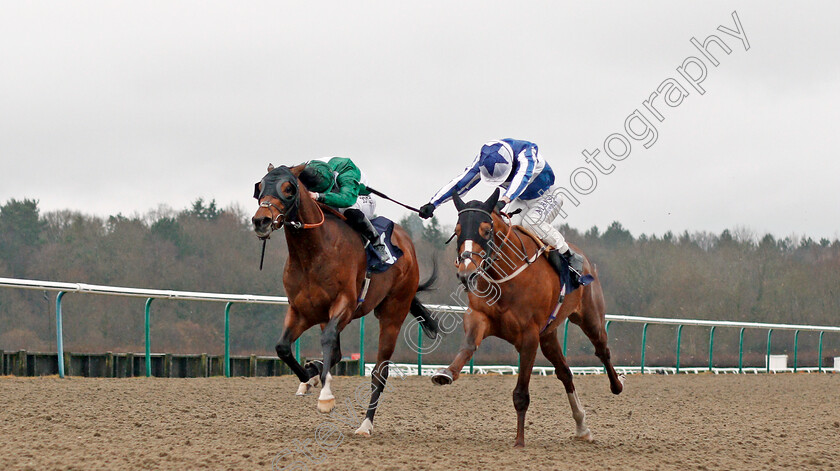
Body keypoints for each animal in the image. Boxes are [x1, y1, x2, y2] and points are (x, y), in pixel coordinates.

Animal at [251, 165, 440, 438]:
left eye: (288, 189)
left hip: (393, 312)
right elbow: (283, 347)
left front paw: (325, 396)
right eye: (260, 187)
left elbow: (327, 340)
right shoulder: (301, 311)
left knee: (379, 372)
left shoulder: (345, 305)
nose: (261, 221)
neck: (313, 252)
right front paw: (309, 377)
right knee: (336, 353)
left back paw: (365, 424)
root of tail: (408, 246)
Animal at [434, 189, 624, 450]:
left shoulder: (529, 336)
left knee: (602, 350)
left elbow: (521, 394)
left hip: (589, 317)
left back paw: (617, 385)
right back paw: (582, 427)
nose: (466, 273)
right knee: (565, 372)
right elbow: (468, 346)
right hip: (549, 334)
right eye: (458, 230)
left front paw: (519, 440)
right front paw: (446, 373)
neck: (503, 278)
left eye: (486, 230)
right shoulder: (479, 317)